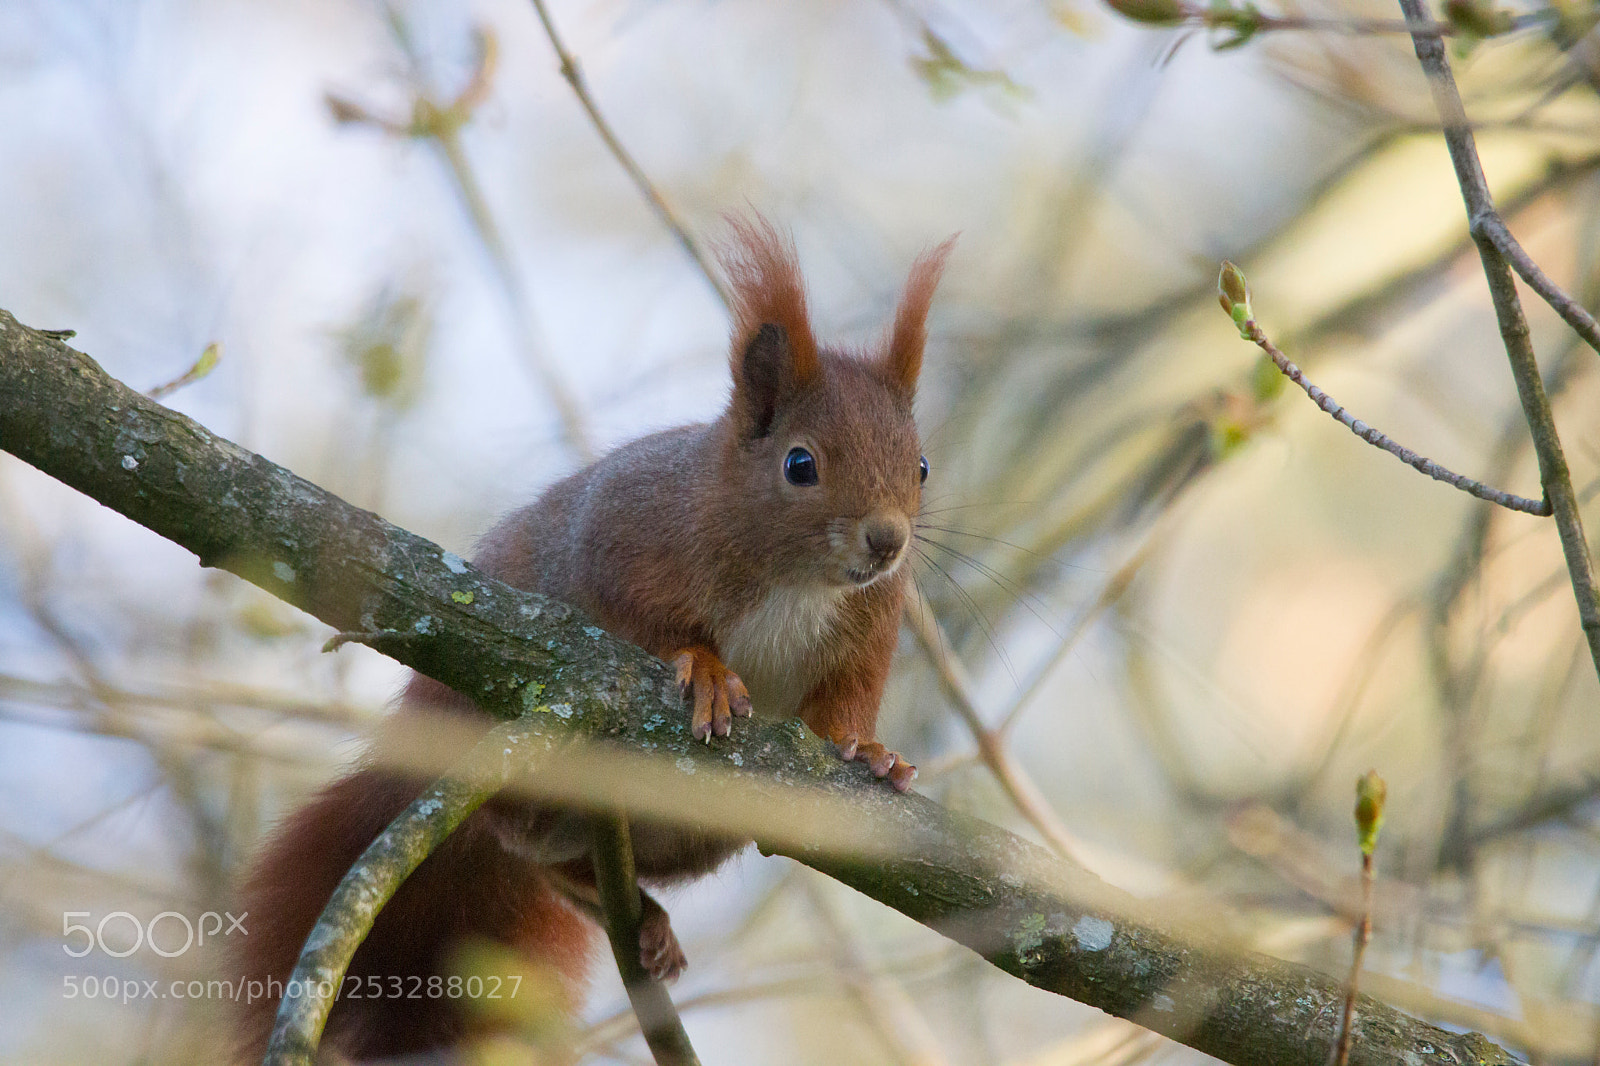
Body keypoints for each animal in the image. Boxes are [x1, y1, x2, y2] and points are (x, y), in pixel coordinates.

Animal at [233, 216, 953, 1061]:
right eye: (800, 463)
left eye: (922, 466)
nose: (888, 541)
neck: (801, 579)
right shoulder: (622, 538)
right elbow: (639, 621)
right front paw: (708, 670)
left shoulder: (869, 627)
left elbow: (842, 705)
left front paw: (870, 751)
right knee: (524, 846)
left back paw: (644, 919)